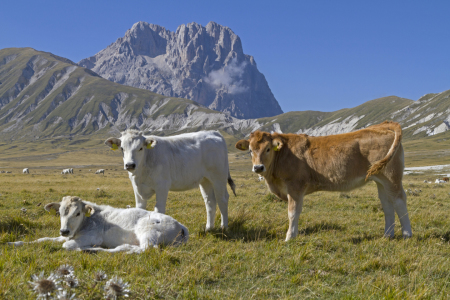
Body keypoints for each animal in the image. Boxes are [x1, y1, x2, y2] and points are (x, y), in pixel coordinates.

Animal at [8, 195, 188, 253]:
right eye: (60, 212)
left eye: (77, 213)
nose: (64, 231)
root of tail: (180, 225)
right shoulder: (65, 236)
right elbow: (42, 239)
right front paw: (13, 243)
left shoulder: (90, 237)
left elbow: (66, 246)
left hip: (148, 232)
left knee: (143, 249)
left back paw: (94, 249)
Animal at [105, 129, 236, 230]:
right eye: (122, 148)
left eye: (141, 148)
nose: (130, 165)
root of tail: (214, 132)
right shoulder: (137, 188)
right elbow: (139, 209)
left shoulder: (162, 186)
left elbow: (159, 210)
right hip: (205, 180)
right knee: (210, 201)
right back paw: (209, 228)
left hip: (219, 177)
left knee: (222, 199)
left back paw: (224, 227)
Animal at [237, 120, 414, 240]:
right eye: (250, 150)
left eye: (268, 149)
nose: (258, 168)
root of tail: (382, 125)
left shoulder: (295, 186)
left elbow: (293, 213)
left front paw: (290, 237)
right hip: (380, 178)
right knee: (387, 204)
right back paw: (387, 235)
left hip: (391, 176)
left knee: (399, 200)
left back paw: (407, 234)